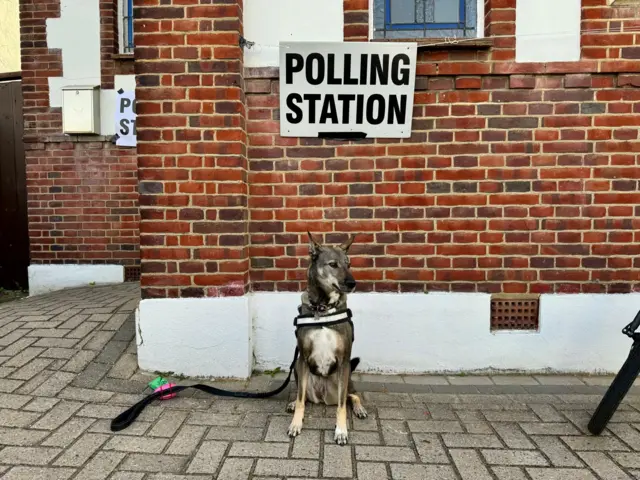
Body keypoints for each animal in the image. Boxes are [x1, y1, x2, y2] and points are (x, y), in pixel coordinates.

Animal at [288, 232, 368, 446]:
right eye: (333, 264)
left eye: (349, 264)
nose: (352, 284)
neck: (323, 309)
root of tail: (323, 398)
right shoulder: (302, 358)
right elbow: (301, 400)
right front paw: (295, 424)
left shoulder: (344, 360)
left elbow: (341, 406)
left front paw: (341, 431)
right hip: (298, 370)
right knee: (303, 396)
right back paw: (292, 403)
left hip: (346, 378)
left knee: (351, 396)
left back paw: (359, 409)